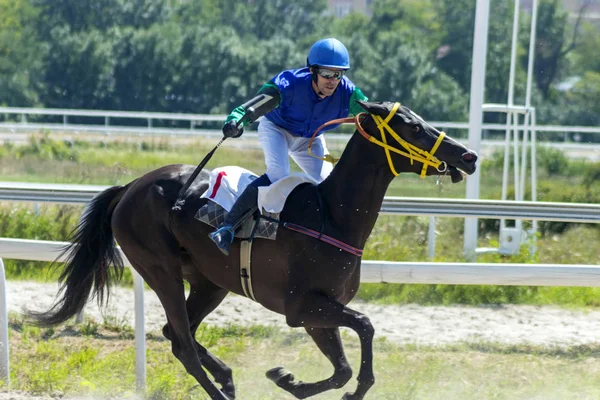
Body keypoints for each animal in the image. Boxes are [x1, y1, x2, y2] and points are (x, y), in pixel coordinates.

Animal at [29, 101, 478, 400]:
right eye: (411, 127)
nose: (468, 155)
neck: (332, 216)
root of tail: (131, 187)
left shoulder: (318, 313)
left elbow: (342, 368)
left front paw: (288, 379)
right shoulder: (303, 307)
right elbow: (365, 327)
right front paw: (333, 386)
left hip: (210, 282)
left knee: (176, 335)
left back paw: (227, 378)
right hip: (161, 271)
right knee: (183, 345)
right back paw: (220, 388)